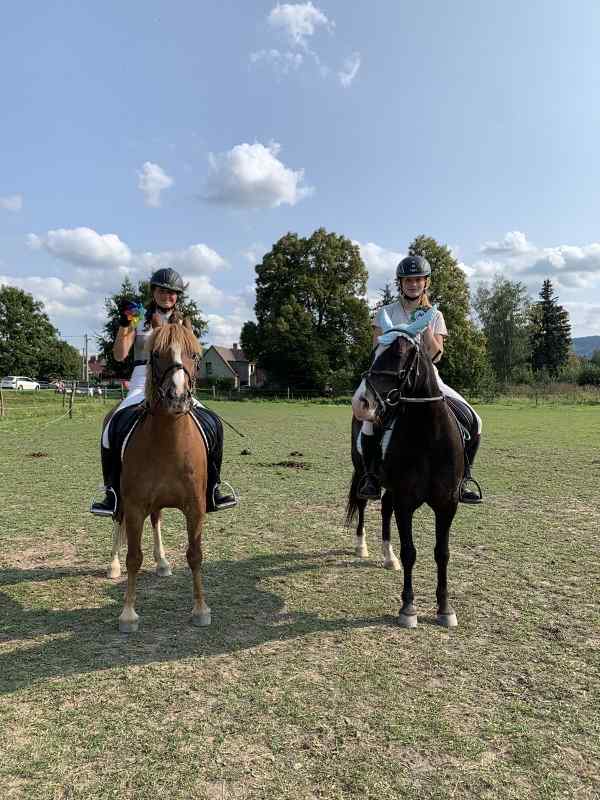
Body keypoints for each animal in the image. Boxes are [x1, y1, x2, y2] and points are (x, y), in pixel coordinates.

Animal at [108, 322, 211, 636]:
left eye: (195, 354)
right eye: (155, 354)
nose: (177, 397)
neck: (168, 440)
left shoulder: (195, 507)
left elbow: (195, 554)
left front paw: (200, 609)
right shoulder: (134, 505)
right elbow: (134, 558)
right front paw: (128, 614)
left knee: (156, 521)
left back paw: (163, 562)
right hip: (121, 501)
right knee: (117, 522)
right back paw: (112, 565)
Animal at [346, 328, 464, 628]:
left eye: (398, 354)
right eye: (373, 352)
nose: (360, 403)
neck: (430, 436)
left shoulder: (447, 505)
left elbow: (442, 553)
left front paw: (445, 608)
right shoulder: (406, 503)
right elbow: (410, 552)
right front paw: (408, 608)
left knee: (385, 509)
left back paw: (389, 558)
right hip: (364, 474)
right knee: (363, 505)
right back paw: (361, 547)